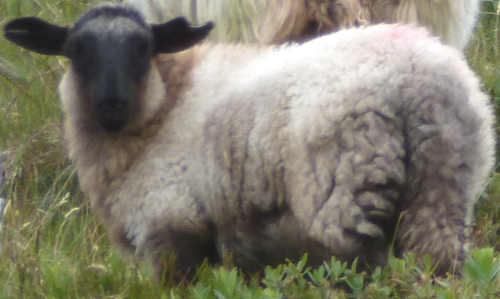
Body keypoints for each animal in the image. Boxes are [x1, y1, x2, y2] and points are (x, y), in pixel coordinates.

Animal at [4, 4, 496, 280]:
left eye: (143, 48)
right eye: (76, 51)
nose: (111, 104)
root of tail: (419, 81)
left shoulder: (171, 221)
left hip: (344, 193)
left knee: (358, 268)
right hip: (443, 188)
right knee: (435, 263)